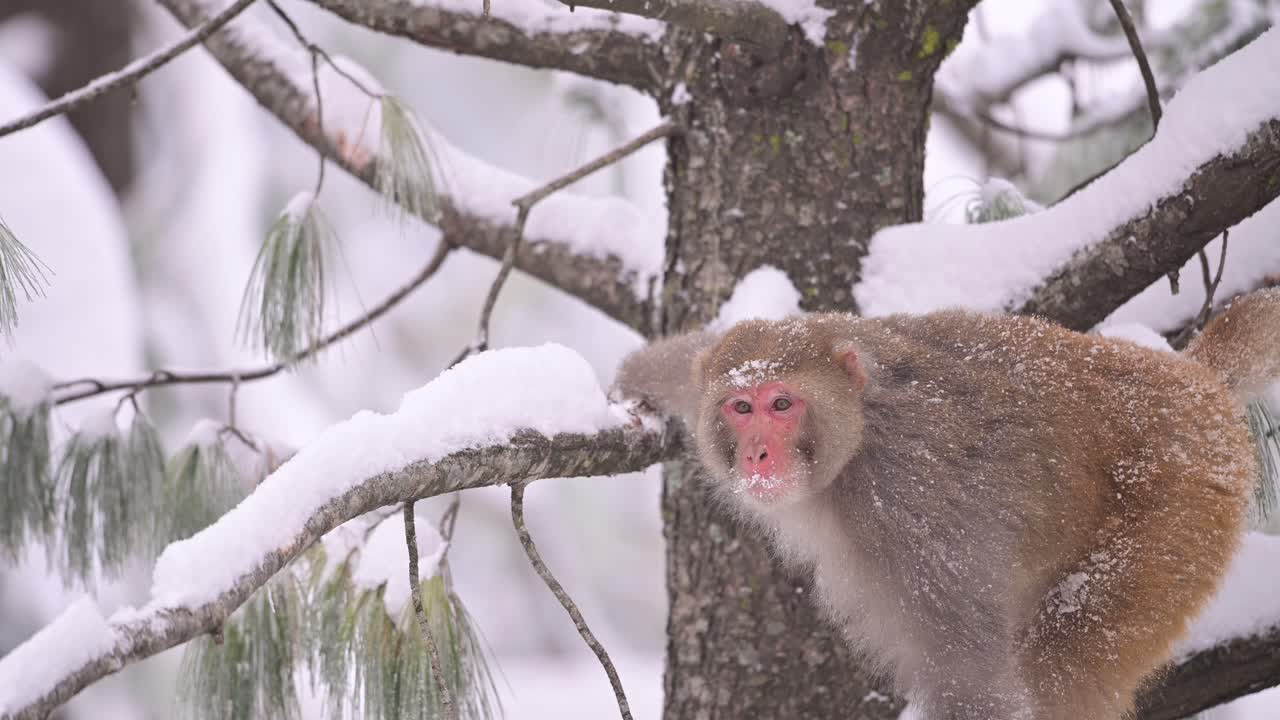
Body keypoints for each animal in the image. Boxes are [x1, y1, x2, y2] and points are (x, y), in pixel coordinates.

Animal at [613, 290, 1280, 720]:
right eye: (739, 407)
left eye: (781, 404)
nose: (755, 455)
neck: (859, 438)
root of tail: (1194, 384)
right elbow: (690, 359)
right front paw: (633, 380)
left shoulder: (910, 506)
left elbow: (968, 677)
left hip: (1176, 511)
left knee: (1068, 657)